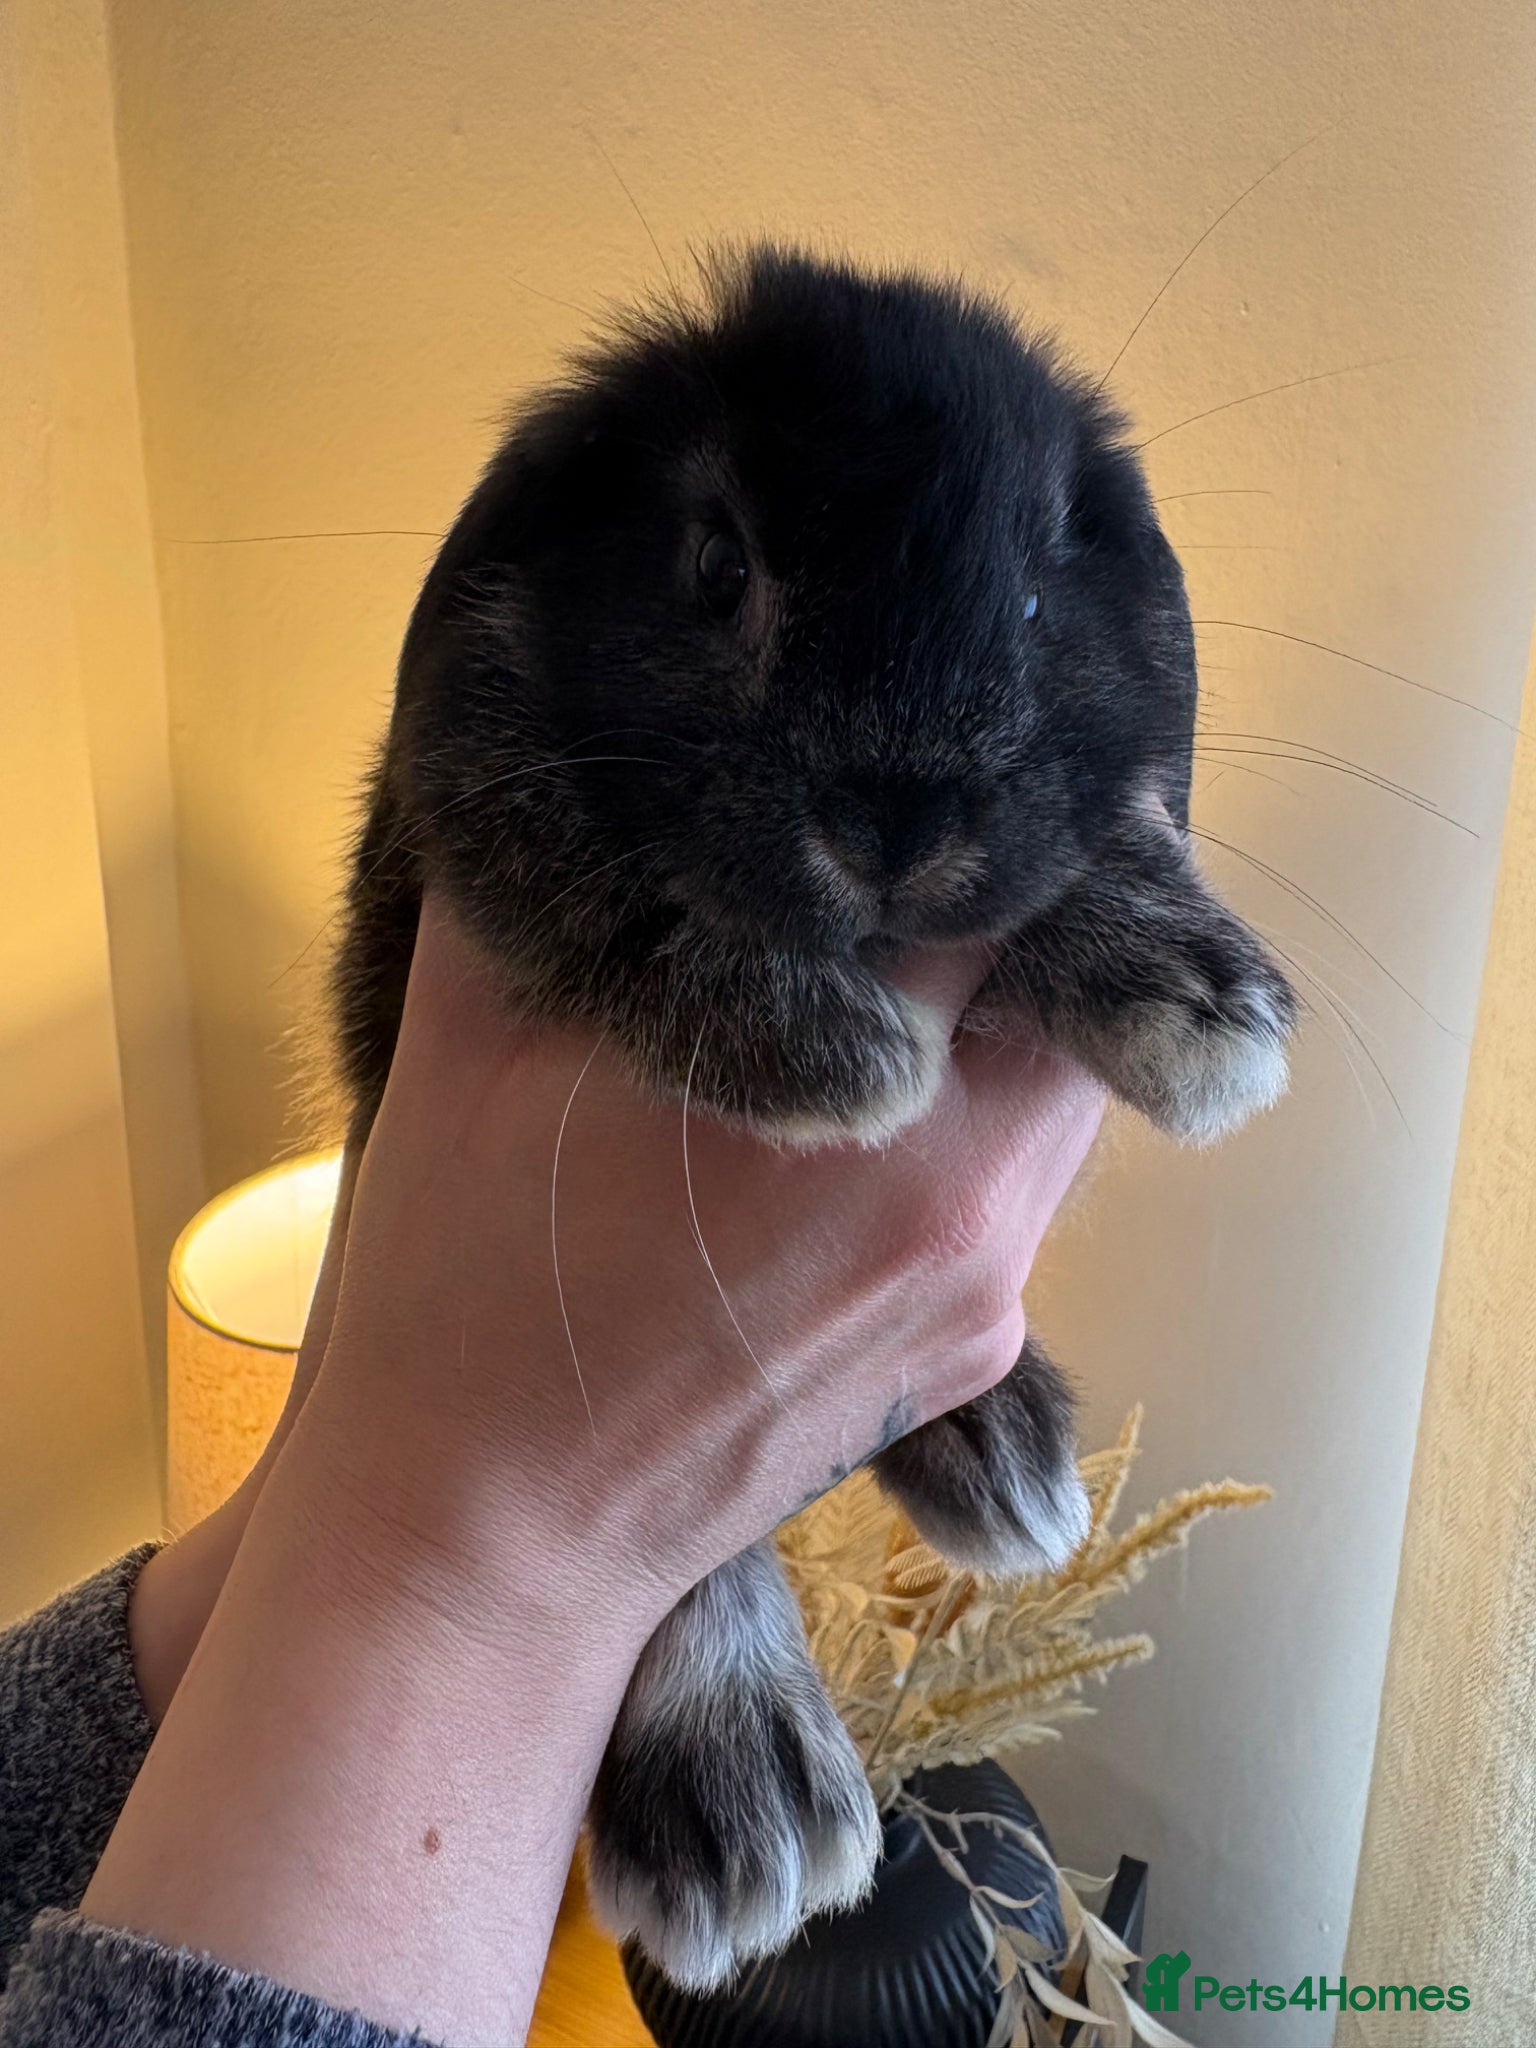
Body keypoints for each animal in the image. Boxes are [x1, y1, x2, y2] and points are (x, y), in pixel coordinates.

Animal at [328, 244, 1296, 1990]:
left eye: (1037, 603)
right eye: (721, 568)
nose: (897, 823)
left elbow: (1071, 851)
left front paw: (1196, 994)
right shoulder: (481, 833)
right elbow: (618, 895)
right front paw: (824, 1048)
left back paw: (1001, 1441)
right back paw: (749, 1795)